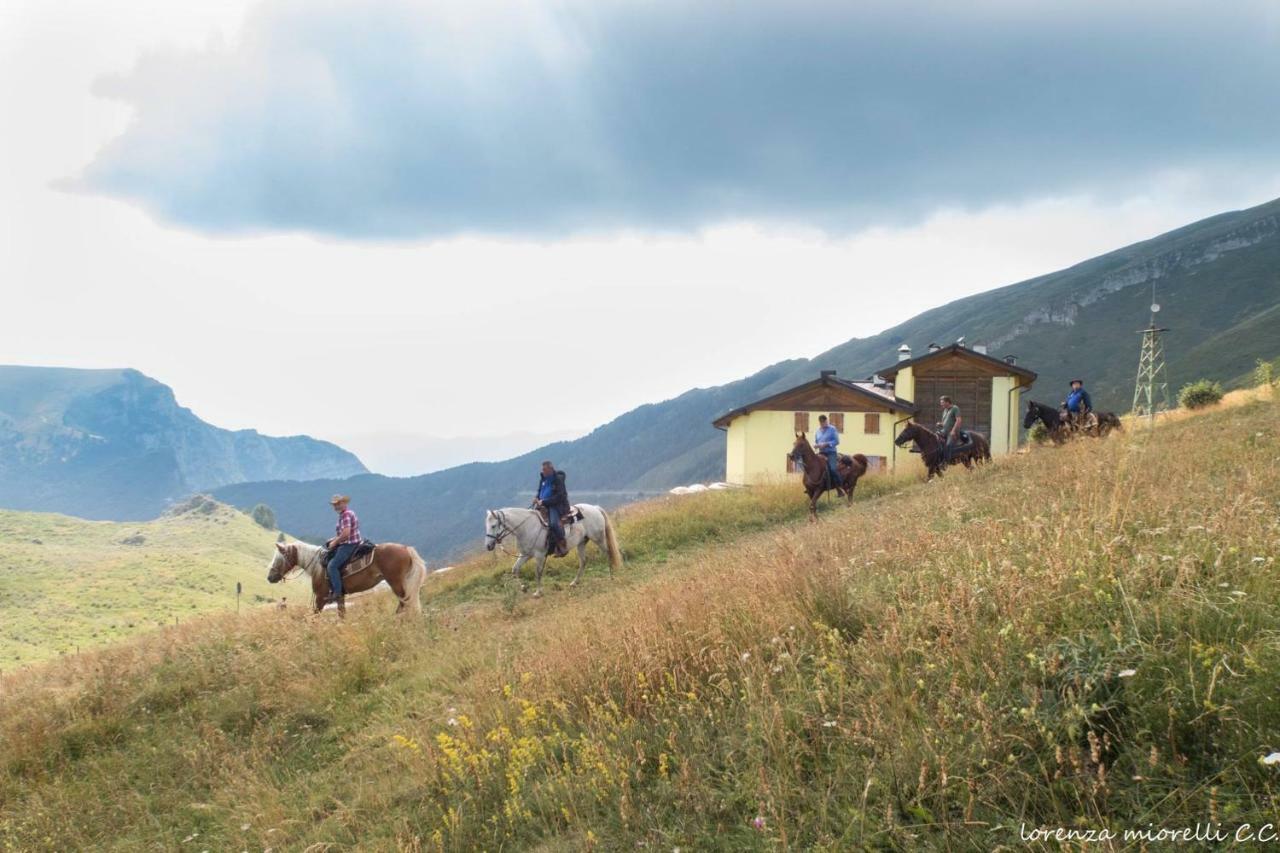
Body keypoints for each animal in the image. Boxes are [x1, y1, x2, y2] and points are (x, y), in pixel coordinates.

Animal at [267, 535, 427, 614]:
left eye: (279, 559)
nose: (269, 577)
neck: (317, 566)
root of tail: (406, 549)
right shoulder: (340, 596)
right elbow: (342, 615)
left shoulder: (320, 598)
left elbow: (314, 616)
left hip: (396, 582)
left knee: (405, 601)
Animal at [483, 502, 624, 594]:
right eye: (487, 526)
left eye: (494, 525)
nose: (488, 546)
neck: (527, 527)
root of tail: (594, 508)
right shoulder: (525, 555)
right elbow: (515, 569)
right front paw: (523, 588)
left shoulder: (540, 555)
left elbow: (538, 572)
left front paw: (538, 592)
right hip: (581, 543)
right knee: (583, 561)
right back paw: (574, 583)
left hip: (598, 538)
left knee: (608, 553)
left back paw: (611, 576)